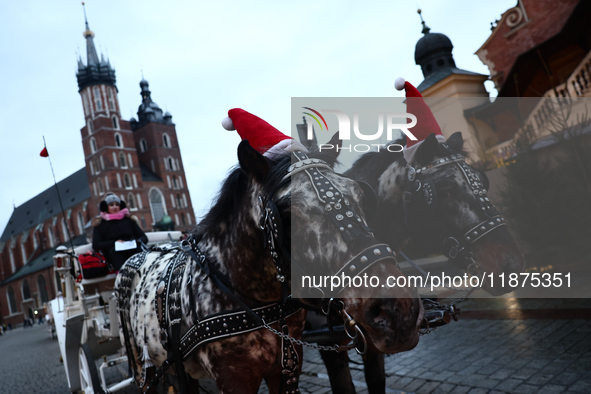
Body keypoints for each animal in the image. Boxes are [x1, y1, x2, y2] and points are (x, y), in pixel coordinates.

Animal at [113, 140, 424, 392]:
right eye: (287, 216)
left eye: (361, 197)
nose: (399, 312)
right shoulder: (236, 379)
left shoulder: (288, 367)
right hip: (145, 371)